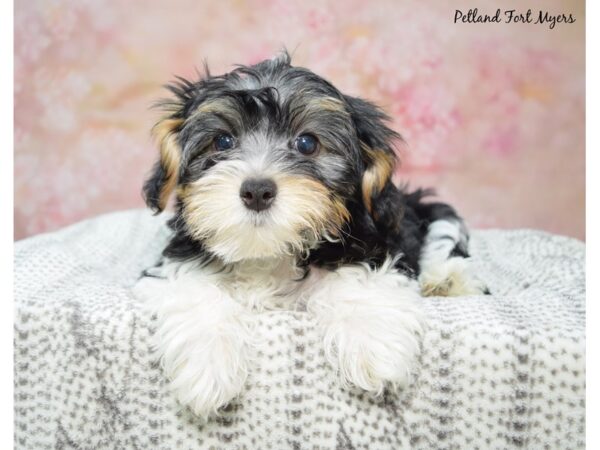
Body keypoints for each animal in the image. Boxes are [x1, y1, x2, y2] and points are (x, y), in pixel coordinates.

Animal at [135, 51, 488, 420]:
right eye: (222, 141)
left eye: (307, 143)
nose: (257, 191)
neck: (268, 253)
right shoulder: (173, 266)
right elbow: (194, 291)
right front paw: (208, 367)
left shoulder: (373, 247)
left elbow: (357, 281)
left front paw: (374, 347)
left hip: (423, 212)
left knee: (446, 234)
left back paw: (447, 280)